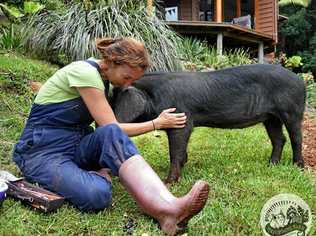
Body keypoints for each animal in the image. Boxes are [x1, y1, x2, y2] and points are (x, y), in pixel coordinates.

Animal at [111, 63, 306, 183]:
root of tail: (301, 81)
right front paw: (184, 165)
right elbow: (180, 152)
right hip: (270, 117)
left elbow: (175, 152)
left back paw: (298, 167)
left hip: (292, 111)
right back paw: (271, 164)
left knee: (296, 138)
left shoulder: (182, 121)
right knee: (279, 139)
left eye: (114, 100)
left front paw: (169, 182)